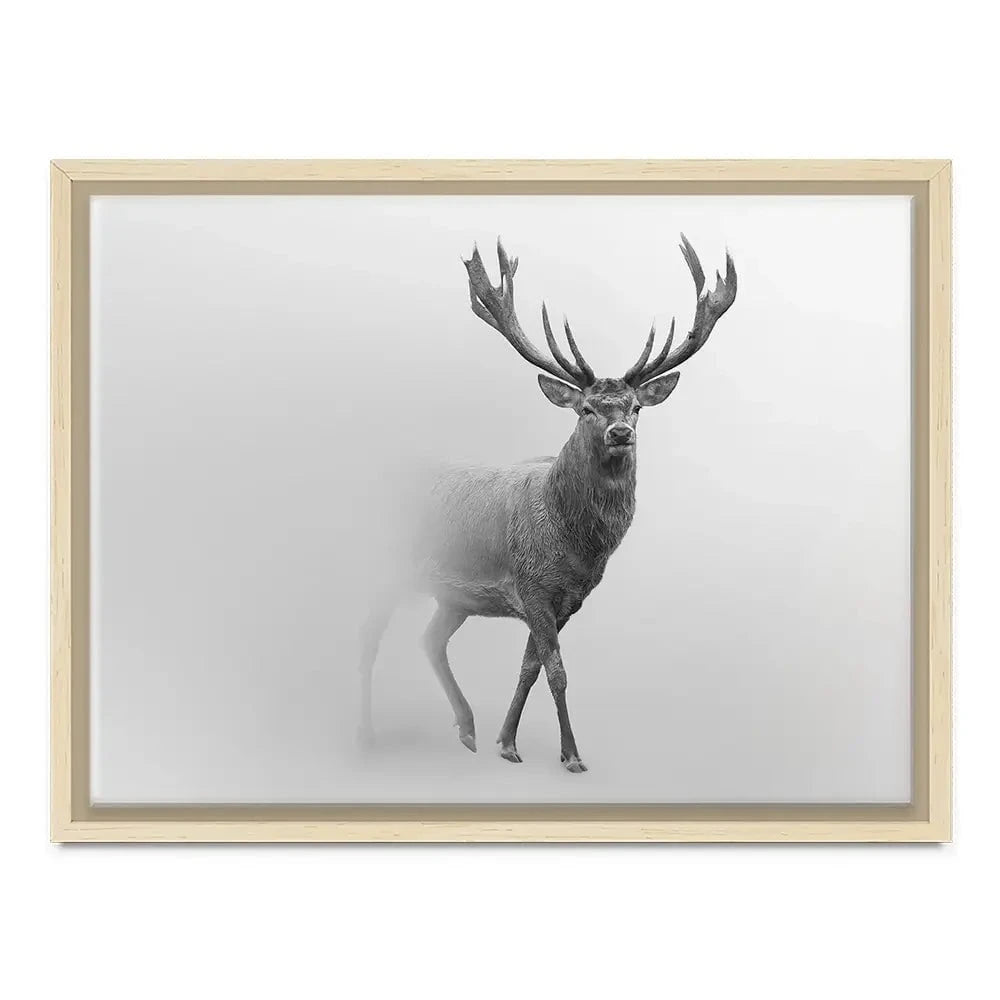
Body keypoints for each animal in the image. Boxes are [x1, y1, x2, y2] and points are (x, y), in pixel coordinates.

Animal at [358, 235, 737, 773]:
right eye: (586, 409)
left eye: (636, 407)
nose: (620, 432)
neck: (576, 545)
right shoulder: (531, 584)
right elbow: (556, 670)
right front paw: (572, 755)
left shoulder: (568, 600)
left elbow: (530, 667)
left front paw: (505, 741)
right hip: (386, 567)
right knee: (368, 638)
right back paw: (367, 734)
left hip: (453, 597)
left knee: (429, 639)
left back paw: (467, 729)